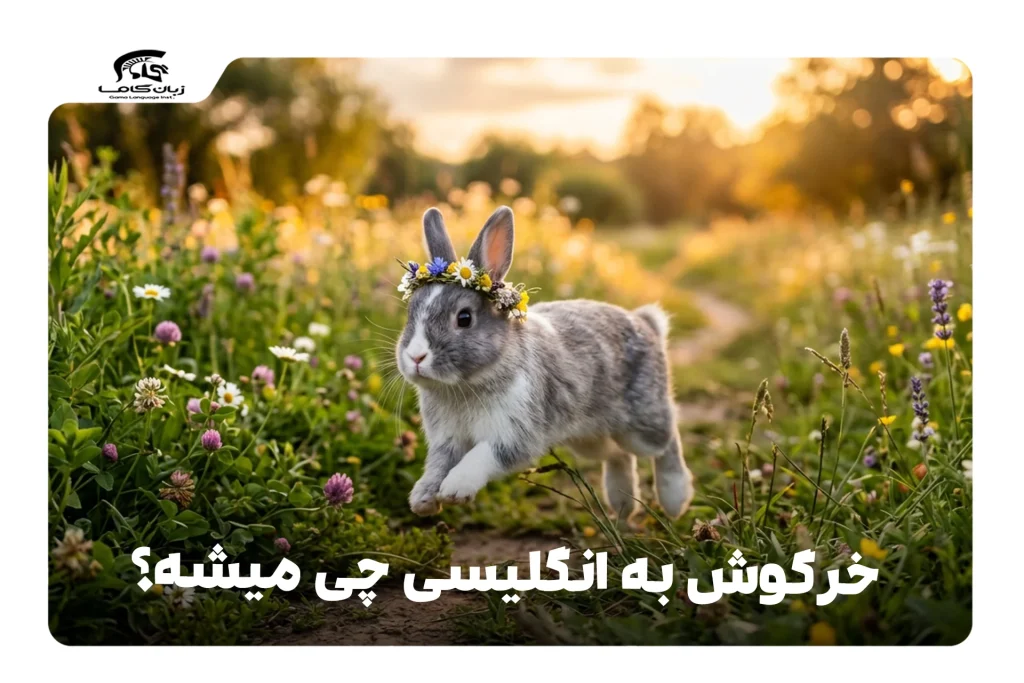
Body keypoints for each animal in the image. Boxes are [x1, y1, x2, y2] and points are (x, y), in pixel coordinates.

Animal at [396, 205, 694, 521]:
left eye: (464, 318)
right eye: (411, 313)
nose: (416, 357)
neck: (466, 385)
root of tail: (647, 324)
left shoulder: (515, 434)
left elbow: (483, 456)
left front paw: (455, 488)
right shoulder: (446, 442)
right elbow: (436, 467)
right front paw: (423, 499)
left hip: (642, 424)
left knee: (666, 440)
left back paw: (674, 499)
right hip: (590, 438)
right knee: (618, 455)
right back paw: (623, 505)